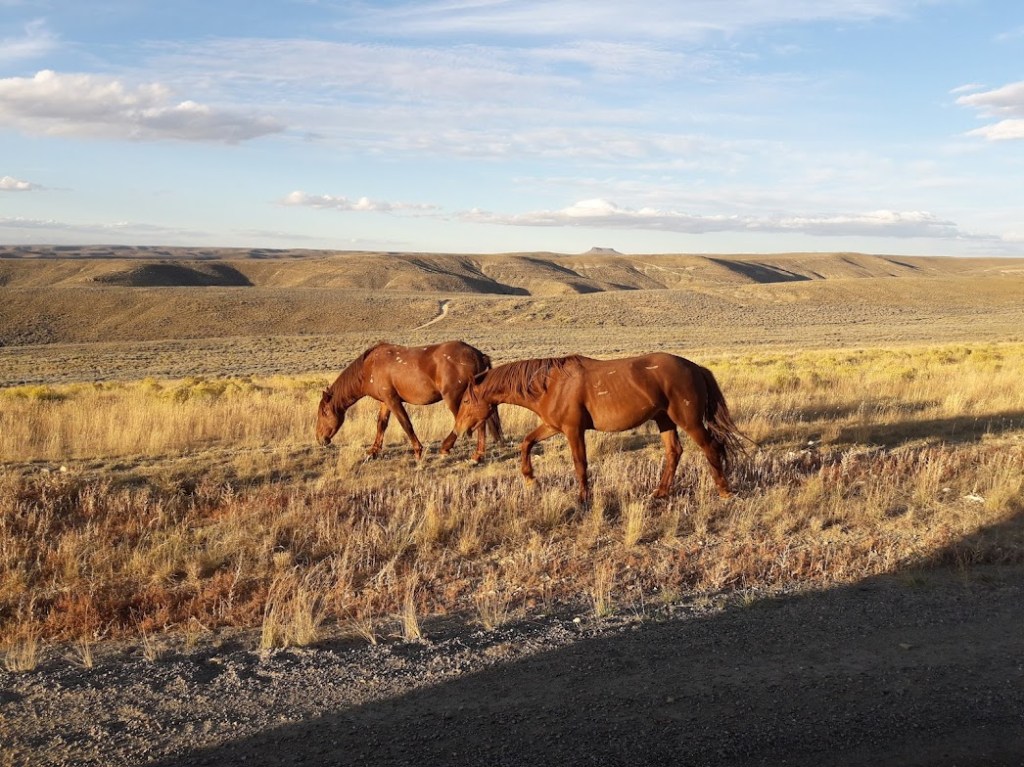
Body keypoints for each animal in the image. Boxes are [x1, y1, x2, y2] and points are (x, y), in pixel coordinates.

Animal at [316, 341, 502, 461]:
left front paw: (418, 451)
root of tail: (478, 355)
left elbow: (406, 424)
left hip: (455, 398)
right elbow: (381, 424)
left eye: (324, 412)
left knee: (474, 424)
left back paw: (467, 453)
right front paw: (373, 452)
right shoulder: (385, 402)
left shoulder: (393, 400)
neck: (369, 367)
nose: (320, 439)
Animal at [454, 353, 749, 502]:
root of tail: (696, 368)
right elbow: (526, 442)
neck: (550, 384)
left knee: (710, 447)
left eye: (466, 400)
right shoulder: (551, 426)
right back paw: (660, 492)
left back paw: (724, 492)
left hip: (688, 420)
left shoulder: (573, 430)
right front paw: (530, 479)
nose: (458, 430)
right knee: (674, 452)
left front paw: (583, 498)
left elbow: (579, 463)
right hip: (664, 420)